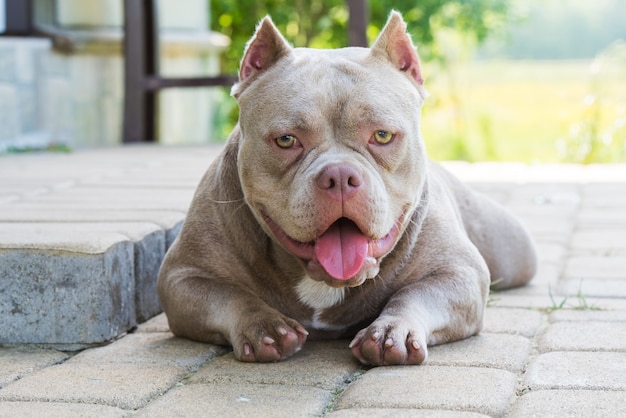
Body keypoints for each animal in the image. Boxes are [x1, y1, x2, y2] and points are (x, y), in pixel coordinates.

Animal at [156, 11, 532, 366]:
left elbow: (414, 296)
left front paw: (391, 330)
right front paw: (264, 326)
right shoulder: (183, 277)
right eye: (286, 140)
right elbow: (232, 297)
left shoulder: (459, 273)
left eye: (382, 135)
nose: (339, 176)